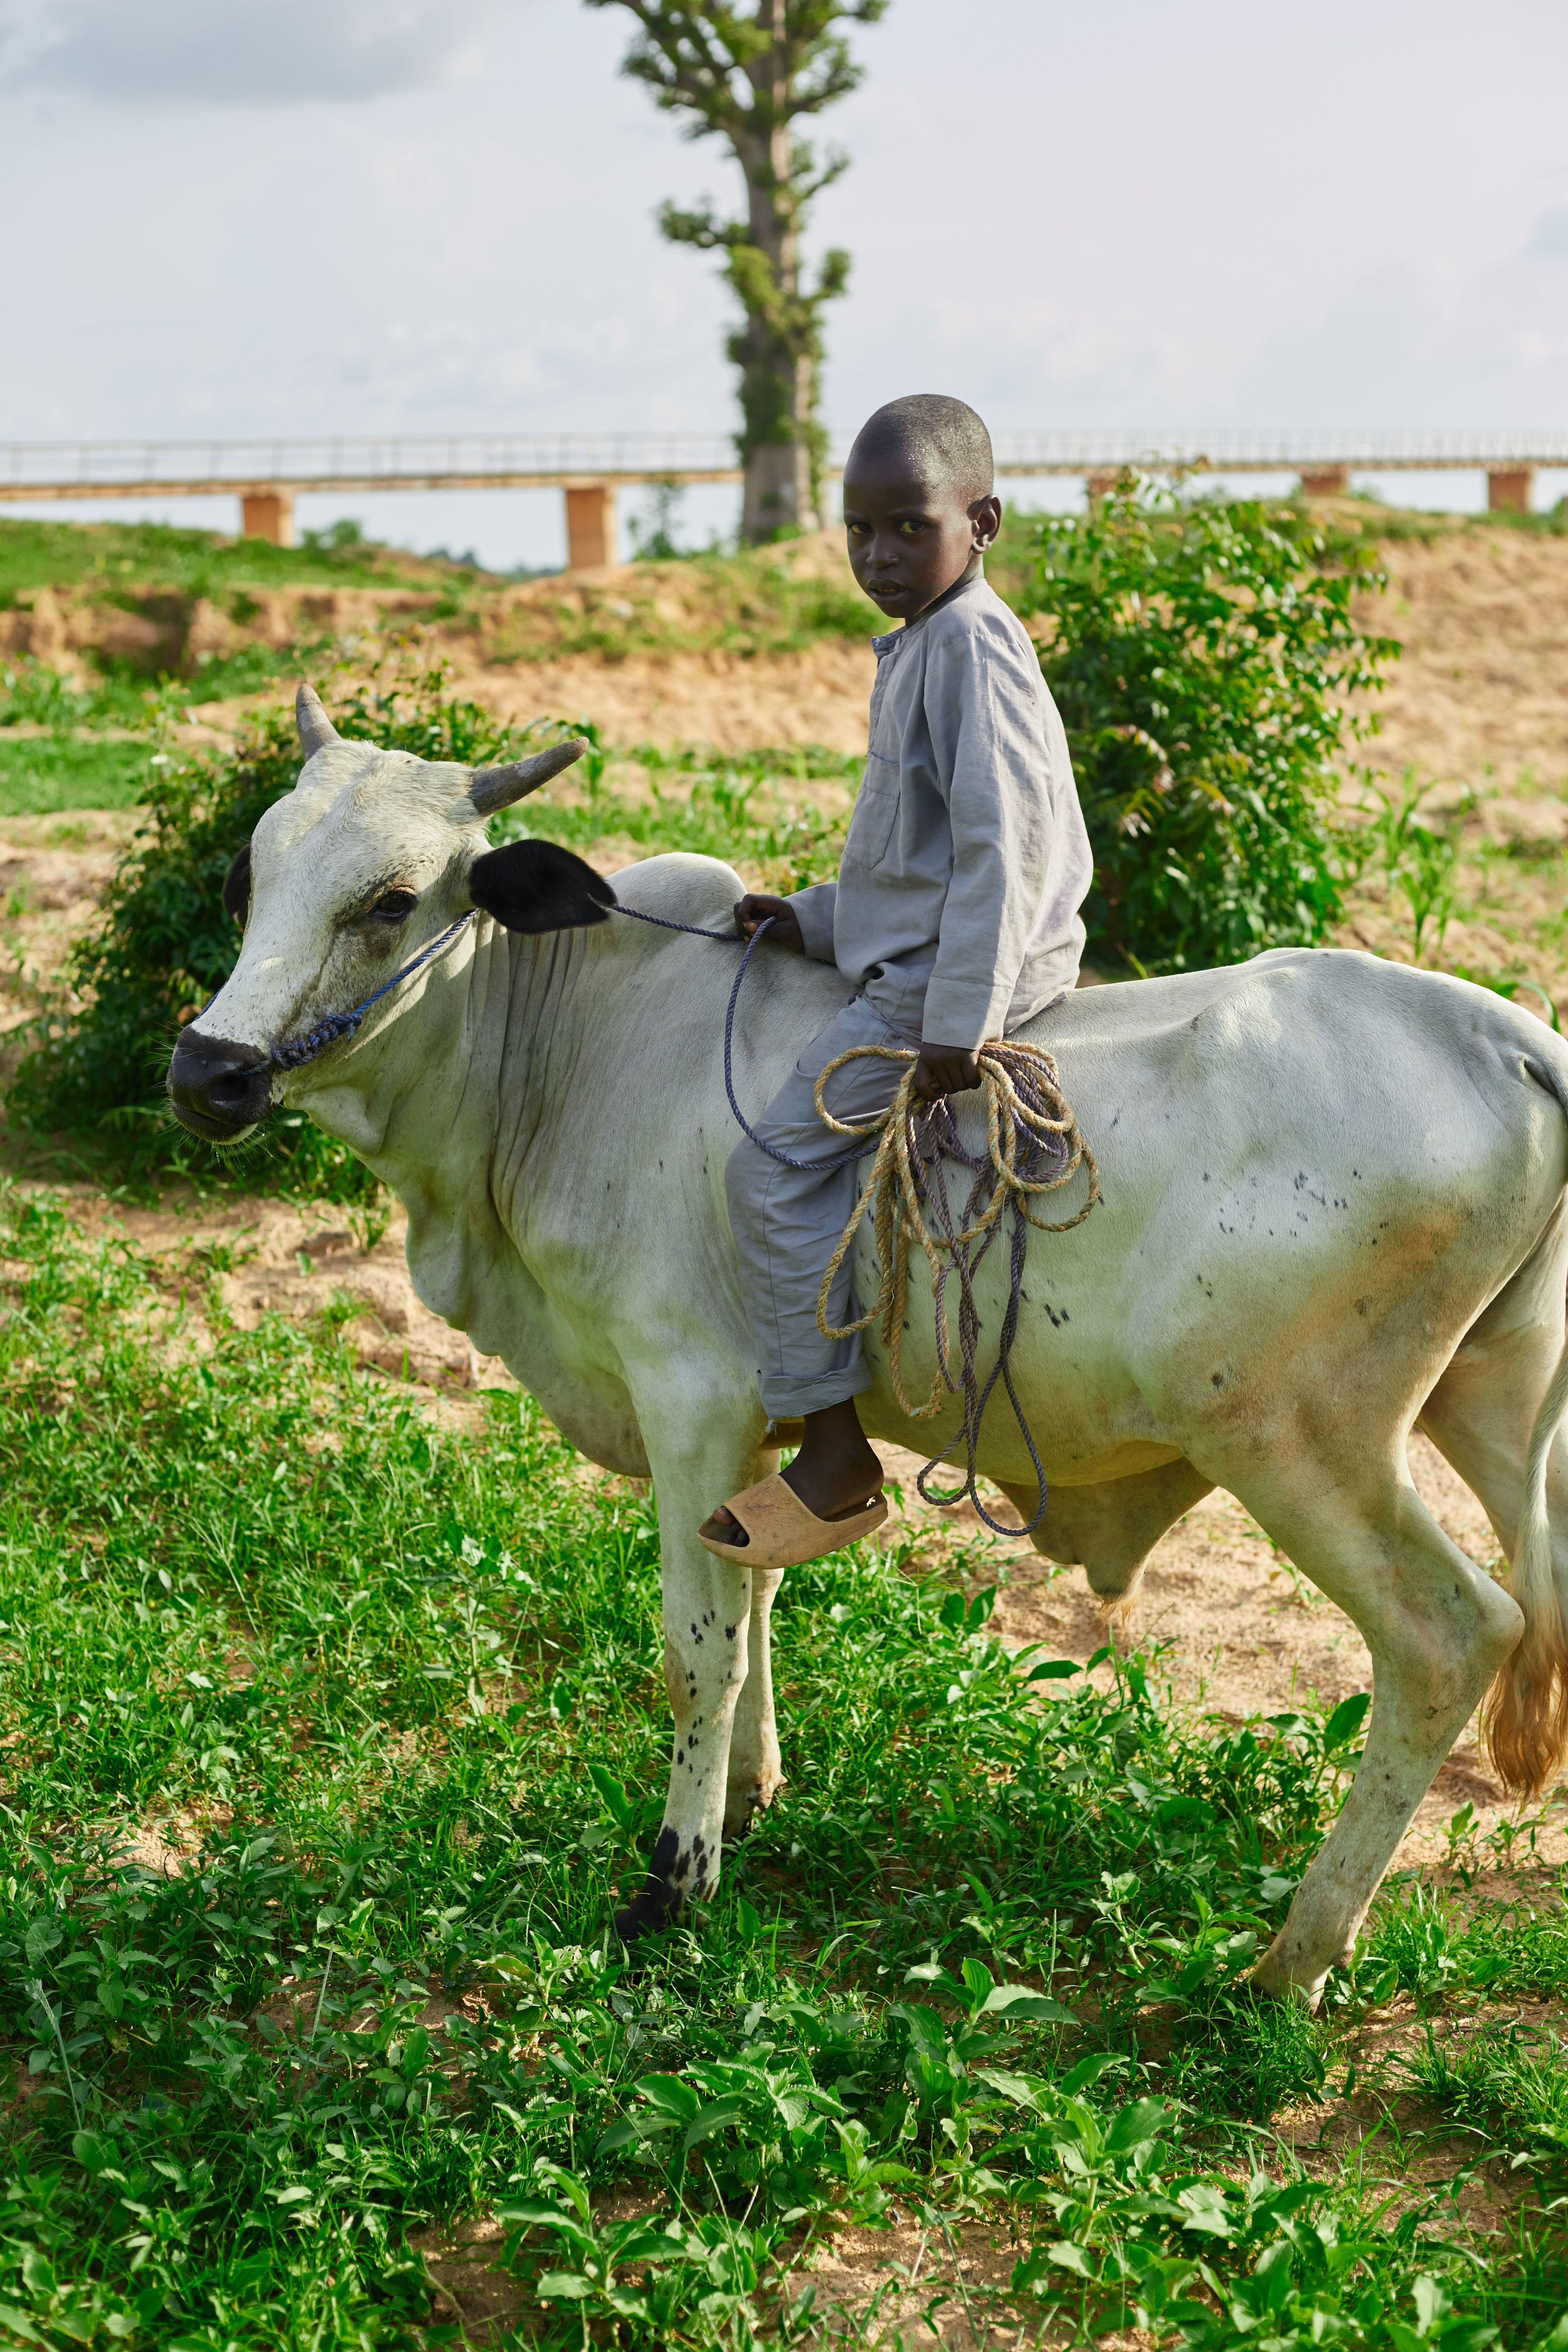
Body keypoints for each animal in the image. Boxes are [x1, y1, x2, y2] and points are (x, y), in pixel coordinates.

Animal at [167, 686, 1568, 2009]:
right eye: (249, 880)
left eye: (392, 900)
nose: (207, 1072)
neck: (562, 1047)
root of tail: (1504, 1037)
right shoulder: (756, 1436)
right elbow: (756, 1603)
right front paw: (747, 1798)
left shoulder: (690, 1401)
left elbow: (697, 1652)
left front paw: (672, 1885)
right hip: (1488, 1410)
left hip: (1298, 1448)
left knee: (1450, 1638)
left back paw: (1293, 1960)